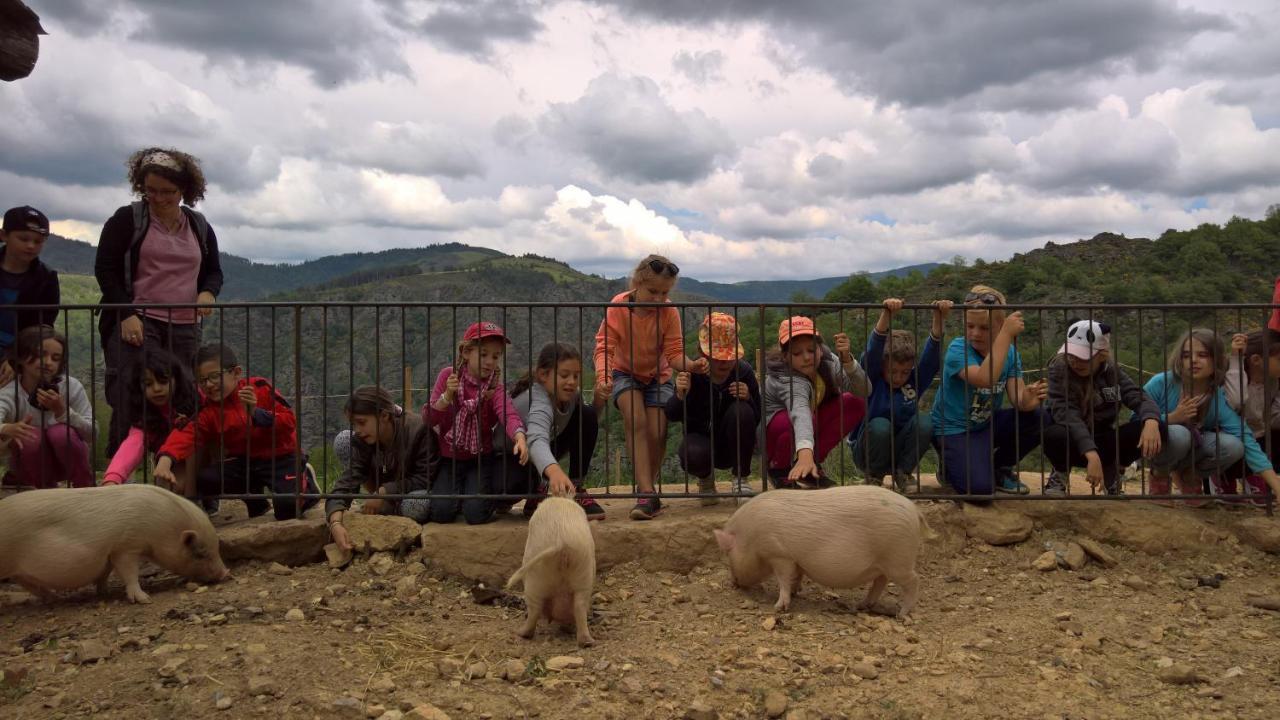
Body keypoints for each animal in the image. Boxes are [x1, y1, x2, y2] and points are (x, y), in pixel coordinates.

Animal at [1, 479, 230, 602]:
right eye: (199, 552)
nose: (226, 573)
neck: (159, 525)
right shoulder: (126, 546)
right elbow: (129, 573)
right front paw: (144, 599)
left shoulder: (110, 553)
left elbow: (105, 572)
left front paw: (105, 592)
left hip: (20, 571)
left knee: (26, 581)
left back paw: (54, 599)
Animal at [504, 491, 593, 645]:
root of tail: (561, 542)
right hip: (583, 573)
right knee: (580, 607)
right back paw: (587, 642)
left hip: (535, 579)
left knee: (534, 611)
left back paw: (520, 633)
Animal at [711, 484, 931, 614]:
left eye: (728, 553)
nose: (734, 583)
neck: (750, 536)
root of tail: (914, 510)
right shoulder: (796, 561)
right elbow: (795, 577)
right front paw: (796, 593)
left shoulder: (779, 554)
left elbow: (783, 579)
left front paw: (779, 607)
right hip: (885, 562)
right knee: (880, 581)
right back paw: (862, 606)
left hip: (899, 558)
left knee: (914, 580)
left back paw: (902, 614)